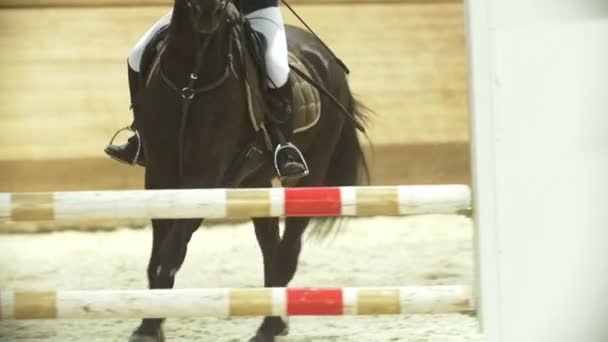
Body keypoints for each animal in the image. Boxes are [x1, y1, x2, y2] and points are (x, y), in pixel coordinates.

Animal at [129, 1, 370, 340]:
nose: (208, 13)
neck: (192, 81)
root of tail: (328, 61)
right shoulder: (160, 174)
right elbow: (159, 254)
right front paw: (149, 324)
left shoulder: (207, 177)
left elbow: (172, 252)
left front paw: (153, 320)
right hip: (257, 180)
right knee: (271, 251)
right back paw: (273, 322)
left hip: (311, 174)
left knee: (287, 251)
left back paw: (271, 326)